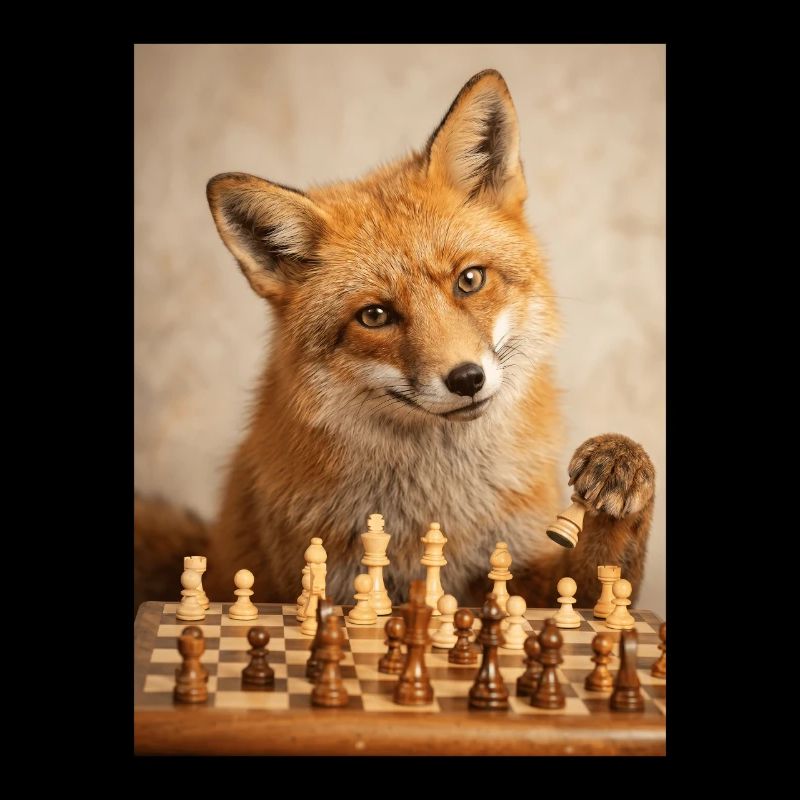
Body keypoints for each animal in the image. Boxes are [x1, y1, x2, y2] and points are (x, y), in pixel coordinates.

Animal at [134, 69, 656, 611]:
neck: (437, 506)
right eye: (375, 315)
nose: (466, 379)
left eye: (469, 280)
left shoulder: (520, 573)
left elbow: (603, 582)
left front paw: (620, 466)